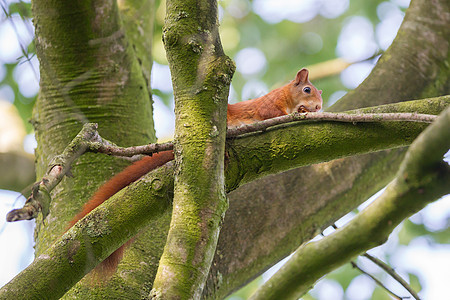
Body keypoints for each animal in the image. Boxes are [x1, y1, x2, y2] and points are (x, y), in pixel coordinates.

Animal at [68, 67, 322, 278]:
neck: (286, 96)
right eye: (307, 89)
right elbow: (272, 114)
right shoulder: (268, 105)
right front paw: (300, 109)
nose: (319, 107)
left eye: (319, 94)